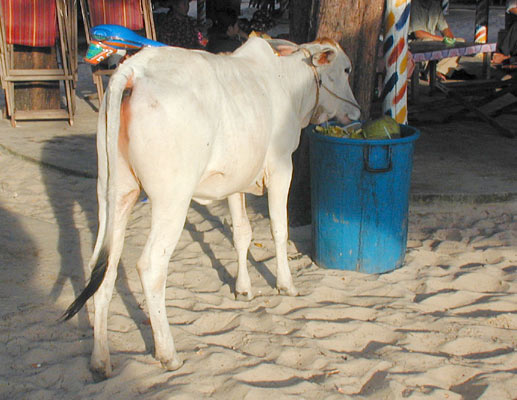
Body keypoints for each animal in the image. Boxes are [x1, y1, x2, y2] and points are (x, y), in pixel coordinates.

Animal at [61, 36, 358, 376]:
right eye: (346, 69)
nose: (356, 112)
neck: (287, 82)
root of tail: (135, 69)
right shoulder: (282, 167)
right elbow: (279, 230)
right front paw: (285, 284)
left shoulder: (235, 181)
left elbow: (241, 233)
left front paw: (243, 289)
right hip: (171, 200)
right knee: (150, 266)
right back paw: (168, 353)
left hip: (113, 192)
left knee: (103, 266)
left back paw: (100, 358)